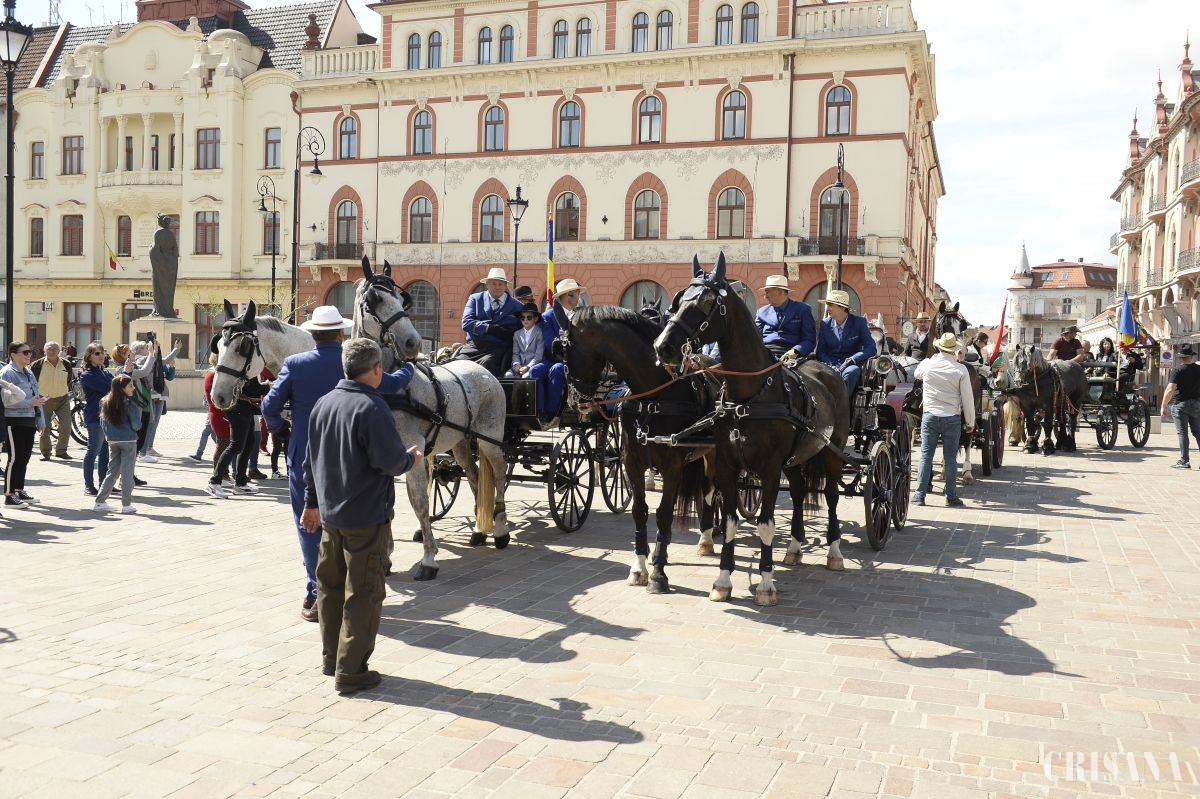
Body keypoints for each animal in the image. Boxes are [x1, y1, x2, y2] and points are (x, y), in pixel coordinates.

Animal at [352, 257, 510, 579]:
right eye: (374, 299)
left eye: (401, 299)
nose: (413, 342)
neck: (388, 385)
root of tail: (484, 370)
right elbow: (387, 504)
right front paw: (386, 557)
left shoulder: (412, 451)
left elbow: (420, 503)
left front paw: (428, 558)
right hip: (460, 442)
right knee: (474, 475)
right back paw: (478, 530)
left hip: (490, 438)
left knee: (499, 473)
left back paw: (499, 530)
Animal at [552, 303, 716, 594]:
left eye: (565, 350)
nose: (574, 400)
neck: (653, 395)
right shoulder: (632, 463)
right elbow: (640, 512)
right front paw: (640, 566)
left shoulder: (672, 467)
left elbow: (663, 515)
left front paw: (659, 574)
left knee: (712, 492)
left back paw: (710, 539)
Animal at [654, 254, 850, 606]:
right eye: (677, 300)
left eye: (706, 301)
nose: (663, 347)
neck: (749, 396)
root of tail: (828, 370)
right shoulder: (727, 465)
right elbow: (731, 522)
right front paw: (722, 580)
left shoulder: (770, 469)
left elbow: (766, 525)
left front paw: (766, 584)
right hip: (796, 459)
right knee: (798, 493)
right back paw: (795, 547)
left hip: (832, 450)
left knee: (830, 496)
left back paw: (834, 551)